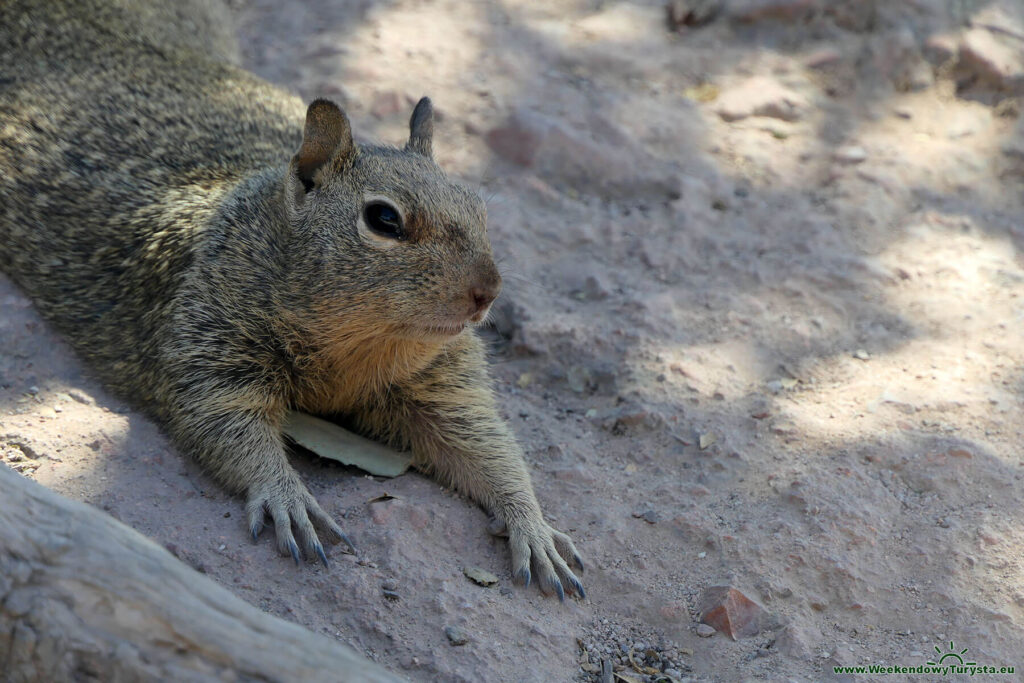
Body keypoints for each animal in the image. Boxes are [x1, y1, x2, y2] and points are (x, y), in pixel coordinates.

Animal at [2, 0, 585, 598]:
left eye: (479, 207)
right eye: (384, 219)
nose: (487, 292)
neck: (356, 343)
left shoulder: (444, 383)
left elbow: (490, 448)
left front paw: (534, 526)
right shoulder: (207, 349)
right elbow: (226, 427)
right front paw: (287, 496)